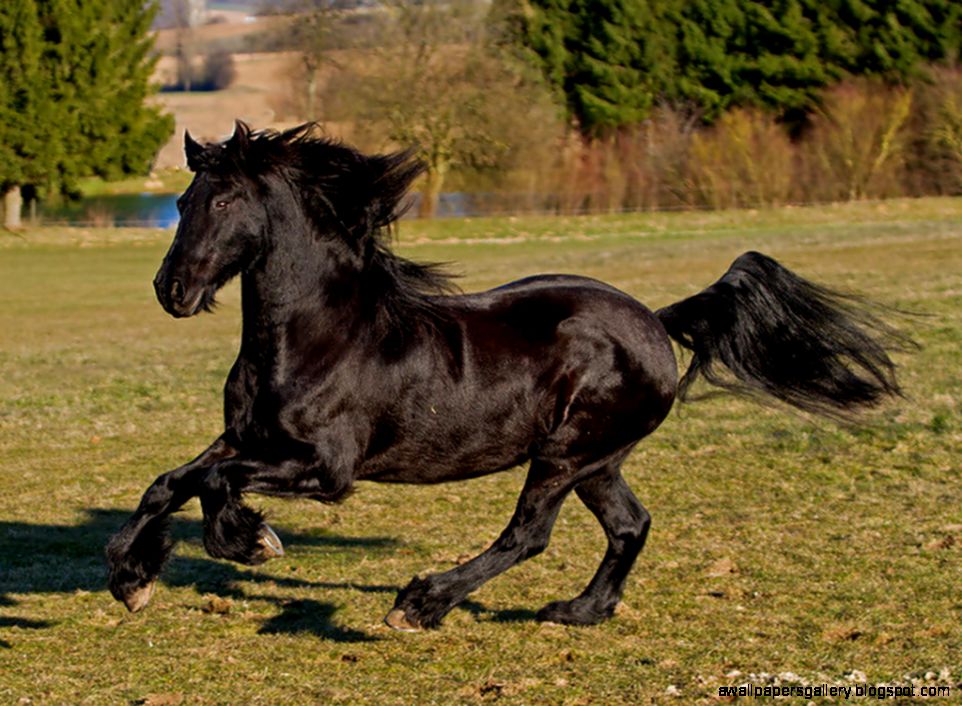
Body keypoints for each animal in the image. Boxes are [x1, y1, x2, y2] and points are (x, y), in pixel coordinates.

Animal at [106, 122, 907, 631]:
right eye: (181, 202)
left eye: (225, 201)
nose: (171, 291)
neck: (319, 337)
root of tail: (655, 320)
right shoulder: (247, 438)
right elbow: (172, 480)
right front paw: (130, 577)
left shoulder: (327, 469)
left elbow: (214, 484)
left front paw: (248, 540)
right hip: (596, 460)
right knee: (629, 525)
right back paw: (578, 613)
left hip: (564, 454)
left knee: (528, 536)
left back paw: (419, 605)